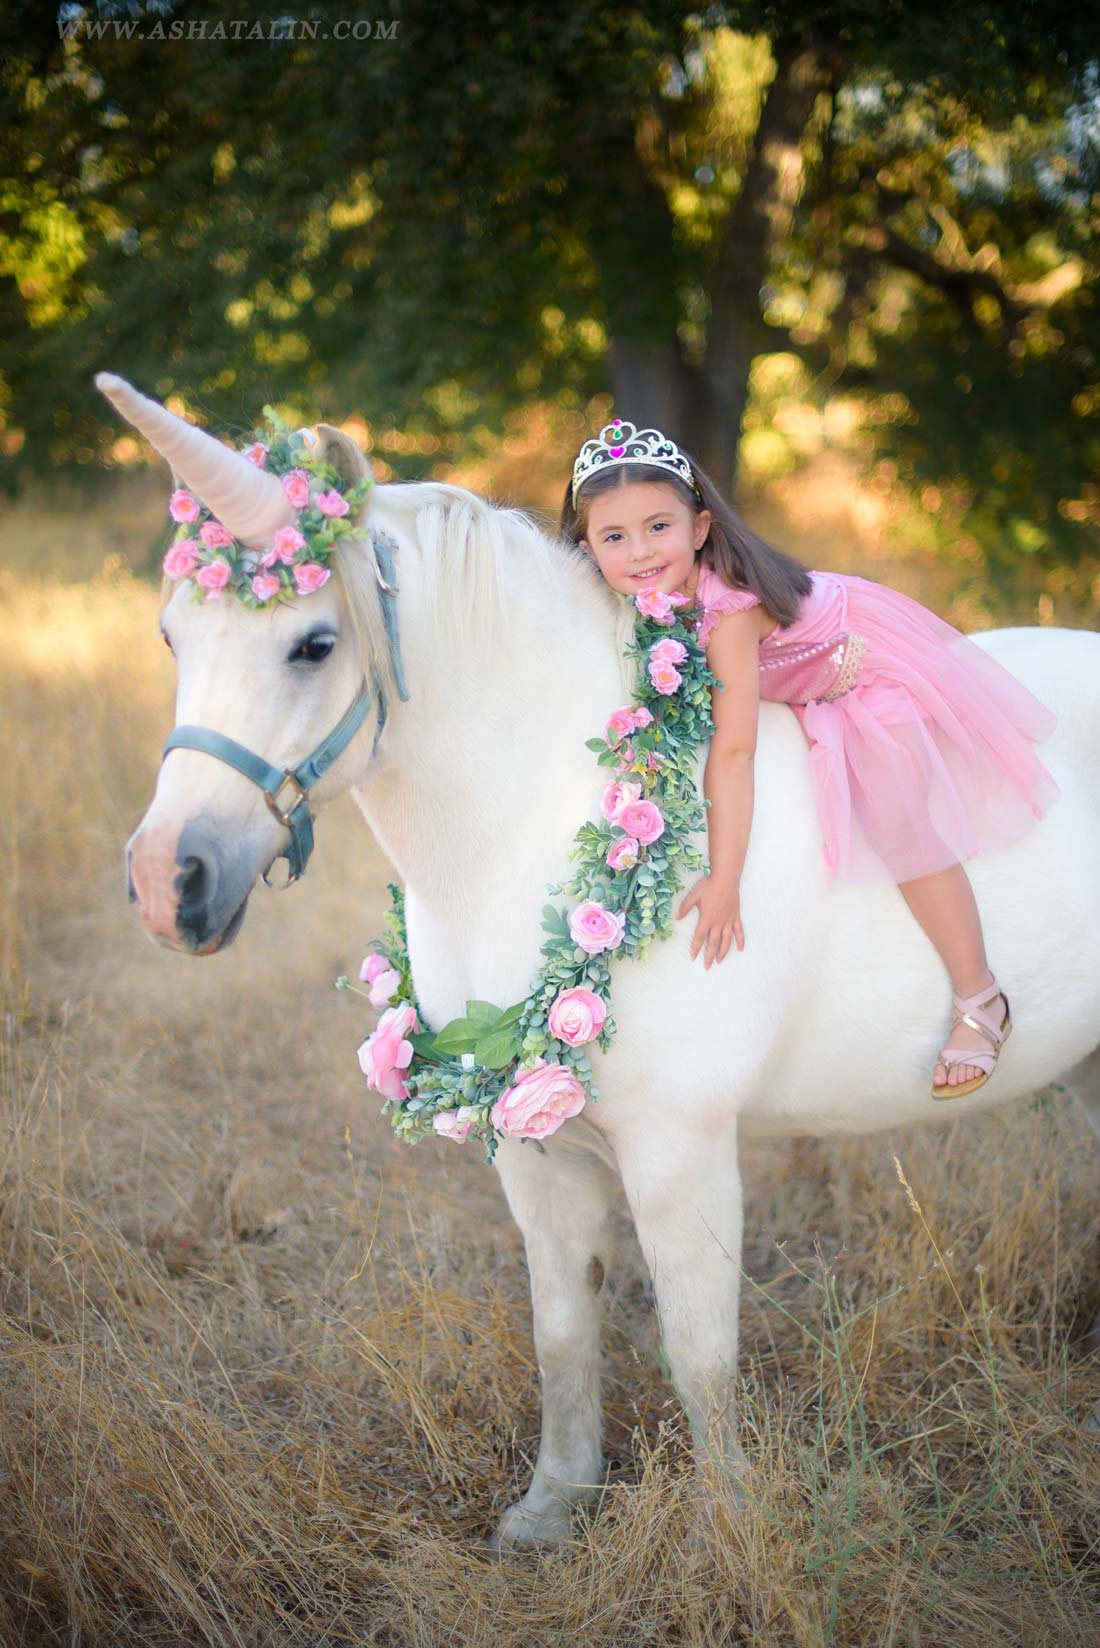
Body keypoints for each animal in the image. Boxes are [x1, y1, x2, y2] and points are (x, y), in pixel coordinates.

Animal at [97, 373, 1100, 1550]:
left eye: (311, 644)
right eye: (172, 637)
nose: (167, 882)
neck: (542, 806)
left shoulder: (680, 1151)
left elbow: (700, 1356)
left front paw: (731, 1530)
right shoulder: (534, 1150)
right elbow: (564, 1329)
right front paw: (551, 1508)